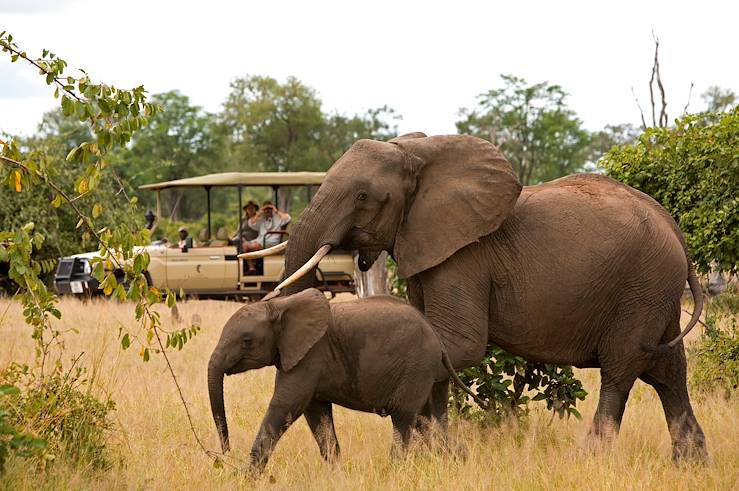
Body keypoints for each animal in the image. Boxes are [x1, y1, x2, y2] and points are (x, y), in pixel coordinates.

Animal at [208, 290, 480, 470]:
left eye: (246, 342)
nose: (225, 452)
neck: (279, 305)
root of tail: (438, 340)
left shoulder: (311, 354)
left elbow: (286, 405)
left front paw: (247, 476)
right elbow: (316, 414)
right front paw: (336, 472)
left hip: (416, 366)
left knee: (404, 418)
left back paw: (393, 470)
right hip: (426, 372)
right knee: (427, 419)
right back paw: (460, 459)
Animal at [256, 132, 712, 462]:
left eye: (363, 196)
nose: (336, 460)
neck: (418, 152)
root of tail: (675, 230)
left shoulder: (465, 256)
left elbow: (457, 344)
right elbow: (432, 348)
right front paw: (439, 456)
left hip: (642, 287)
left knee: (621, 370)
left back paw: (591, 460)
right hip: (655, 293)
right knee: (668, 371)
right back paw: (690, 464)